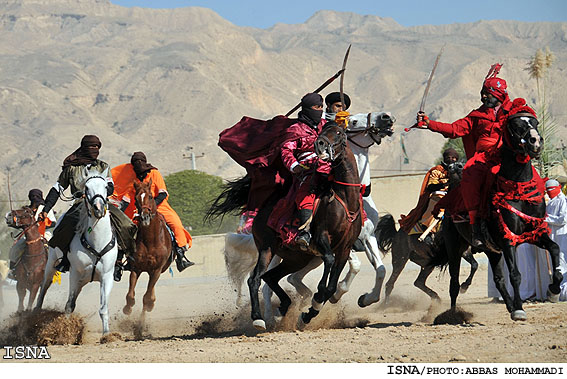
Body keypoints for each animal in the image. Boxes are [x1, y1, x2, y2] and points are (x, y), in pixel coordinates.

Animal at [35, 167, 117, 336]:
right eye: (86, 188)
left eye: (106, 187)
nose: (98, 208)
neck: (96, 243)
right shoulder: (75, 273)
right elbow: (69, 306)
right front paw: (64, 331)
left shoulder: (107, 276)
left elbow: (103, 308)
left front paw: (107, 334)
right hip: (51, 265)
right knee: (43, 288)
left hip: (82, 281)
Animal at [121, 180, 171, 316]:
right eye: (136, 198)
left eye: (150, 196)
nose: (144, 217)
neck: (150, 241)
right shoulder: (136, 267)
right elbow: (130, 295)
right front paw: (127, 308)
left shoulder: (156, 270)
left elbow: (147, 298)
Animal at [221, 111, 394, 320]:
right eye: (353, 121)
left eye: (341, 131)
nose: (385, 118)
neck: (346, 198)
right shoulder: (327, 240)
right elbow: (346, 266)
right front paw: (326, 297)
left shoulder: (361, 239)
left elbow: (379, 269)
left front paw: (364, 298)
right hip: (270, 250)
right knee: (260, 281)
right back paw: (265, 318)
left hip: (298, 258)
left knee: (277, 278)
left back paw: (286, 308)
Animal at [378, 162, 480, 304]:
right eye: (451, 167)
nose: (459, 167)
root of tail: (396, 234)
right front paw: (462, 287)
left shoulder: (464, 250)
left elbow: (475, 265)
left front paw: (464, 287)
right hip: (400, 259)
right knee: (390, 283)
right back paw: (386, 304)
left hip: (427, 261)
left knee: (419, 282)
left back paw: (436, 297)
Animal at [440, 110, 564, 320]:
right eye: (515, 126)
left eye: (535, 123)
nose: (536, 142)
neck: (517, 189)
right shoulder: (508, 241)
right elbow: (515, 274)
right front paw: (520, 309)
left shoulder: (535, 234)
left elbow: (555, 248)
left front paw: (553, 288)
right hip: (455, 249)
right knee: (454, 284)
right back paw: (454, 314)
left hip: (492, 251)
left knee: (498, 279)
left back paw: (510, 306)